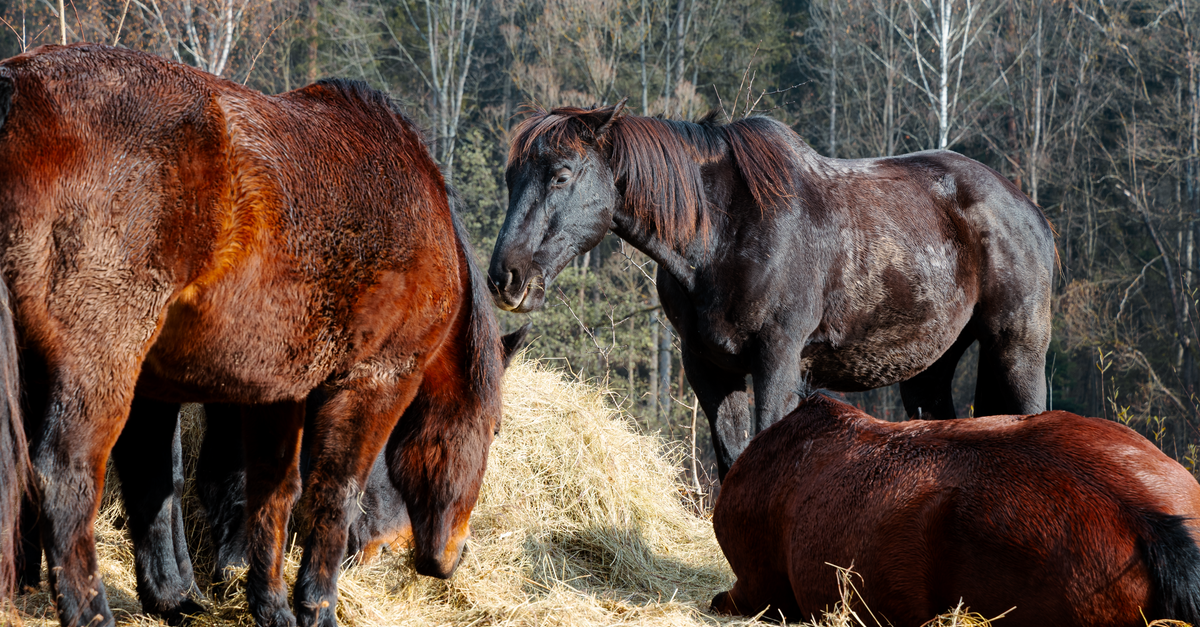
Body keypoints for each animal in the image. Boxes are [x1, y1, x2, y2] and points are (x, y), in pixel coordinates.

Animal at [0, 43, 506, 627]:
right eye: (494, 430)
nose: (453, 556)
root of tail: (16, 87)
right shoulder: (374, 382)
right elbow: (334, 493)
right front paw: (316, 607)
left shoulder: (277, 391)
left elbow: (270, 492)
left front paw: (269, 605)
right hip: (99, 365)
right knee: (65, 476)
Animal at [489, 101, 1056, 479]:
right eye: (510, 178)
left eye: (562, 175)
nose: (504, 277)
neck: (723, 235)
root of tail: (1028, 210)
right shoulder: (709, 367)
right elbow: (731, 460)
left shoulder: (778, 360)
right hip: (929, 370)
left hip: (1017, 349)